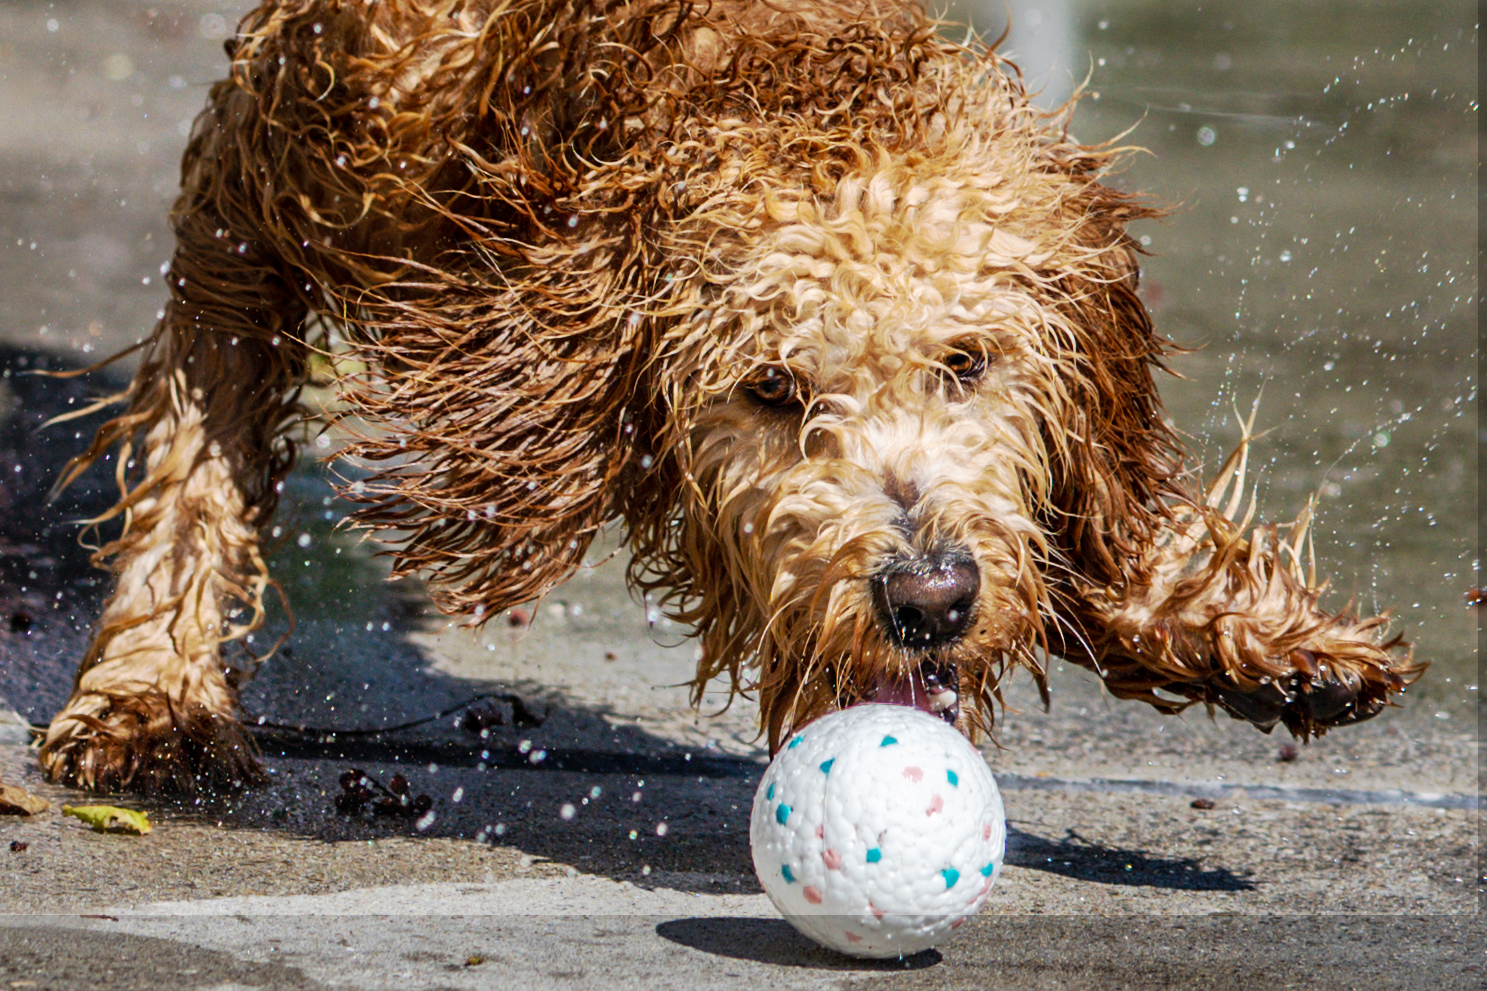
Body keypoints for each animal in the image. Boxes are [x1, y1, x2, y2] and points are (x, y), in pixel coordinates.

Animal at [43, 0, 1415, 791]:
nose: (927, 596)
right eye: (769, 387)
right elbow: (199, 461)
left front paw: (1231, 629)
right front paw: (149, 688)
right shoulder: (253, 185)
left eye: (966, 363)